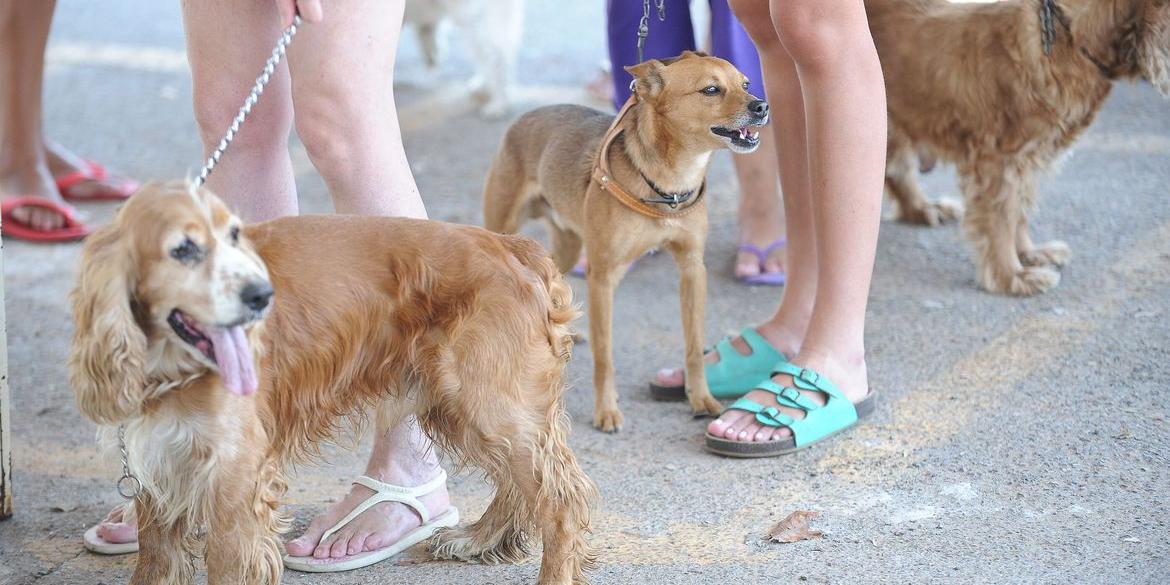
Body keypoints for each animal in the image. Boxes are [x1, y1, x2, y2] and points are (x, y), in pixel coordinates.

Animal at [67, 182, 594, 585]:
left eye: (234, 236)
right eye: (183, 249)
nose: (263, 295)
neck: (170, 366)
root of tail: (511, 247)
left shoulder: (235, 476)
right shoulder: (161, 462)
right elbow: (155, 558)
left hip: (487, 402)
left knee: (560, 499)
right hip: (461, 404)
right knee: (520, 483)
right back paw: (478, 538)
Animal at [477, 51, 767, 430]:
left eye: (745, 83)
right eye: (711, 90)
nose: (762, 105)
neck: (671, 183)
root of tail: (524, 117)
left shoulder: (692, 269)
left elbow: (693, 346)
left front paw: (700, 398)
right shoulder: (603, 277)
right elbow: (605, 355)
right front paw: (606, 410)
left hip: (569, 245)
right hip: (505, 229)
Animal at [875, 0, 1165, 294]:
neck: (1068, 38)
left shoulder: (1027, 159)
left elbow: (1019, 211)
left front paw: (1029, 254)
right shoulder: (998, 161)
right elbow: (1001, 218)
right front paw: (1012, 275)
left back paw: (923, 208)